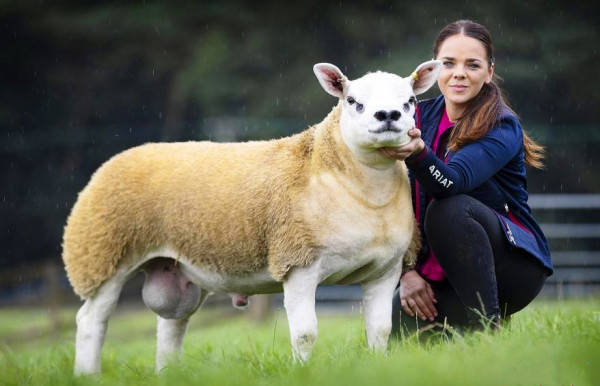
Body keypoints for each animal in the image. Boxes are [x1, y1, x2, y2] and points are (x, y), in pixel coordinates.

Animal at [63, 59, 442, 374]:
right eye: (353, 101)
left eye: (410, 100)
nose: (388, 115)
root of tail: (120, 157)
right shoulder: (298, 262)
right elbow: (305, 334)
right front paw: (302, 372)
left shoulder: (385, 270)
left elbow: (380, 330)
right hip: (103, 254)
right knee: (91, 321)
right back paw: (87, 375)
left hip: (176, 268)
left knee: (171, 326)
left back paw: (167, 373)